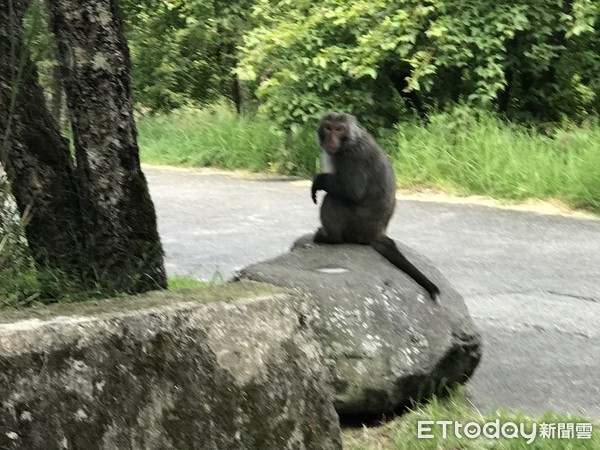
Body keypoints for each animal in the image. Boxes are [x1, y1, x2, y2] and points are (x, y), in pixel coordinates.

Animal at [312, 112, 438, 300]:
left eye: (339, 129)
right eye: (328, 127)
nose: (331, 139)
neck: (348, 141)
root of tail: (377, 234)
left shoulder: (351, 155)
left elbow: (352, 190)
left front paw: (318, 180)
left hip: (357, 227)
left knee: (333, 199)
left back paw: (332, 238)